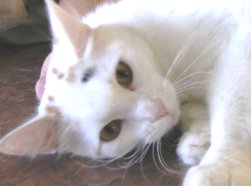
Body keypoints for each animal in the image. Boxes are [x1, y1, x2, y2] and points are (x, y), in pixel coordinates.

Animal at [0, 0, 251, 185]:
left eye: (123, 73)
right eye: (110, 130)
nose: (159, 110)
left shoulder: (241, 43)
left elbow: (232, 105)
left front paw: (220, 168)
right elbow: (193, 109)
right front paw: (200, 139)